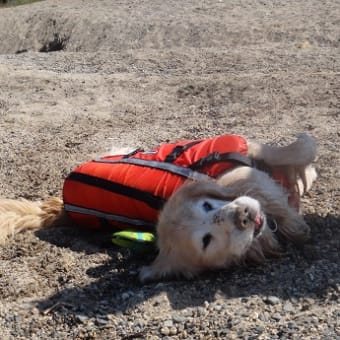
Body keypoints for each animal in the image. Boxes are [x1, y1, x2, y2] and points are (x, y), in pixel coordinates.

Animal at [0, 133, 316, 282]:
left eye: (206, 204)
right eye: (206, 240)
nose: (245, 216)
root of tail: (62, 205)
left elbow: (294, 156)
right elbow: (300, 153)